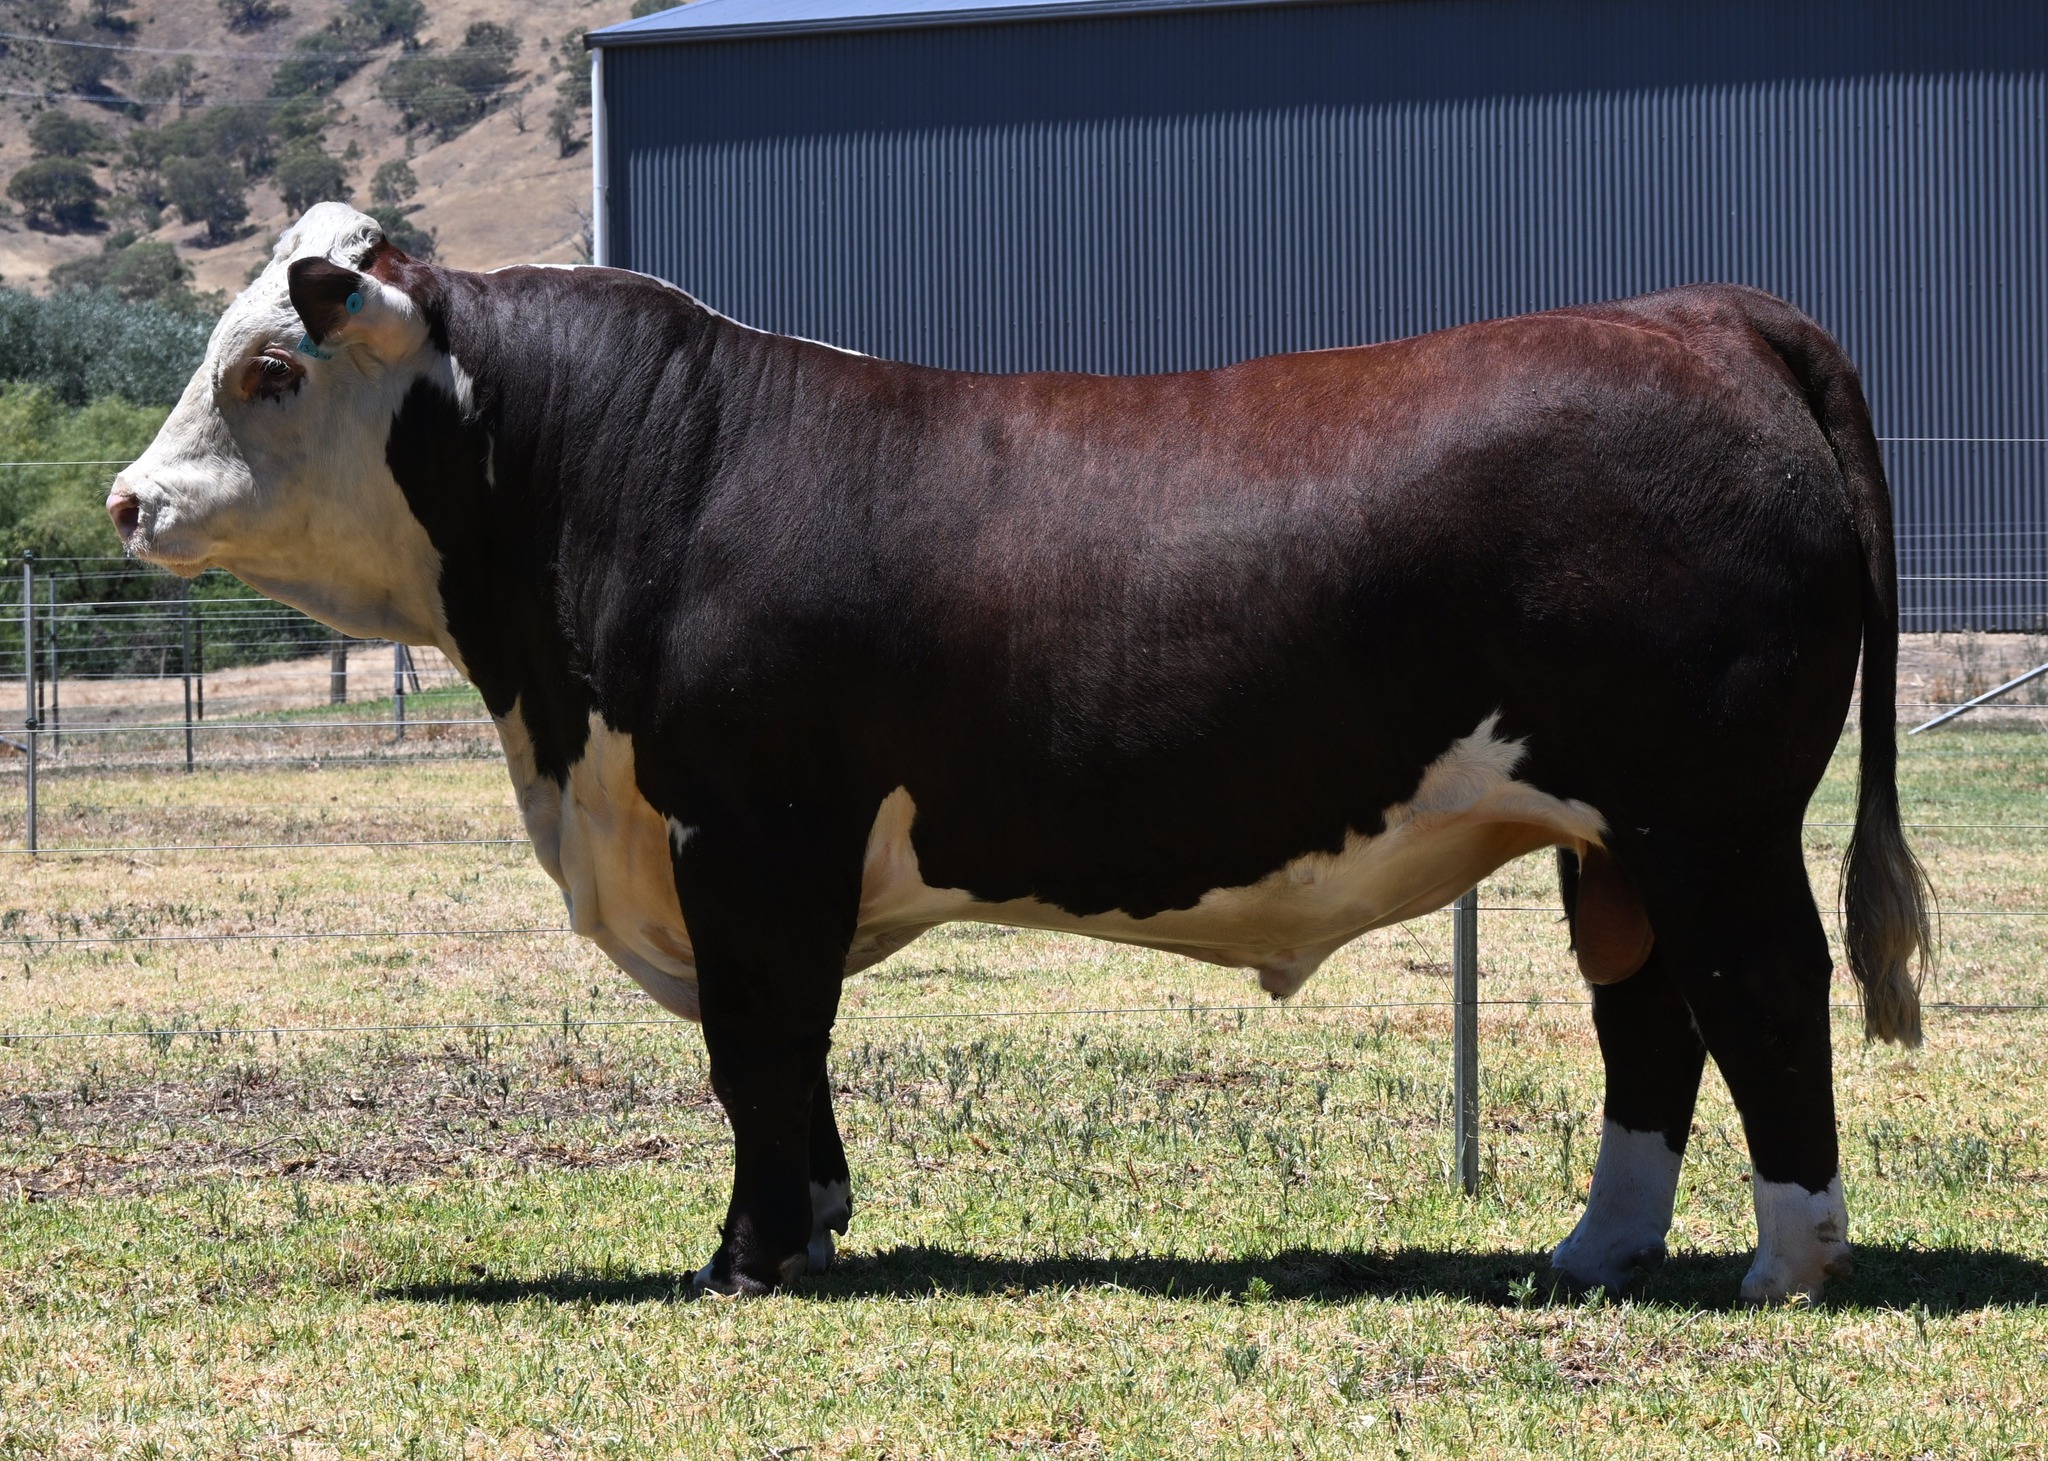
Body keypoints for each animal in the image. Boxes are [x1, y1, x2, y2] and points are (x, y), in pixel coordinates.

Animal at [109, 204, 1931, 1302]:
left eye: (265, 367)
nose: (130, 501)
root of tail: (1696, 312)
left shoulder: (748, 832)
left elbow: (759, 1045)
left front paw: (747, 1259)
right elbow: (793, 1058)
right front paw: (814, 1226)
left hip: (1709, 811)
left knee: (1761, 987)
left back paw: (1788, 1262)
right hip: (1612, 831)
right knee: (1649, 1014)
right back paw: (1592, 1251)